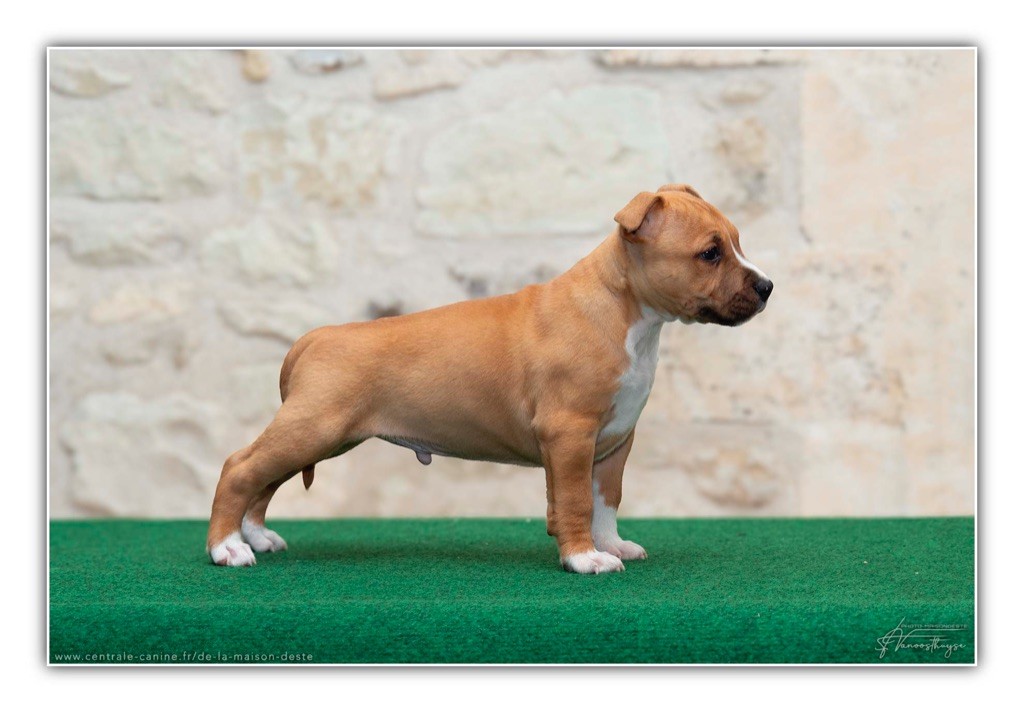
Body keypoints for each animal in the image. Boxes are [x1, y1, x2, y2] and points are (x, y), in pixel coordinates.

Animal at [207, 184, 773, 573]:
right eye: (710, 253)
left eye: (737, 243)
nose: (767, 286)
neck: (626, 311)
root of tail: (314, 338)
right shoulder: (570, 434)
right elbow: (574, 500)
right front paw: (584, 558)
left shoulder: (614, 441)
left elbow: (604, 500)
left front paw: (611, 545)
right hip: (314, 427)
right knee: (240, 467)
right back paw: (226, 548)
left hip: (319, 435)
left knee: (264, 478)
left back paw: (256, 537)